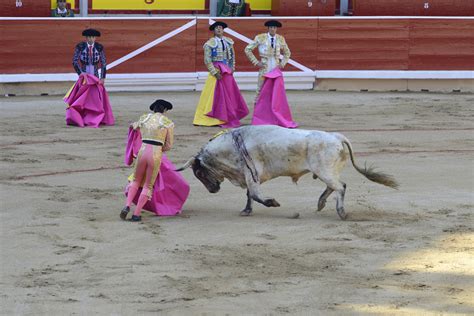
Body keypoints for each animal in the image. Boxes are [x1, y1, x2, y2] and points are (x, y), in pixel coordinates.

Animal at [177, 124, 396, 218]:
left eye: (199, 173)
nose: (213, 190)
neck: (233, 145)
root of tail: (336, 136)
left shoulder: (251, 174)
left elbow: (255, 195)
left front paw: (273, 203)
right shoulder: (249, 176)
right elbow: (249, 195)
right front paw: (246, 211)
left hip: (324, 170)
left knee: (340, 187)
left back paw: (341, 212)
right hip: (326, 171)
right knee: (335, 186)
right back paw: (320, 204)